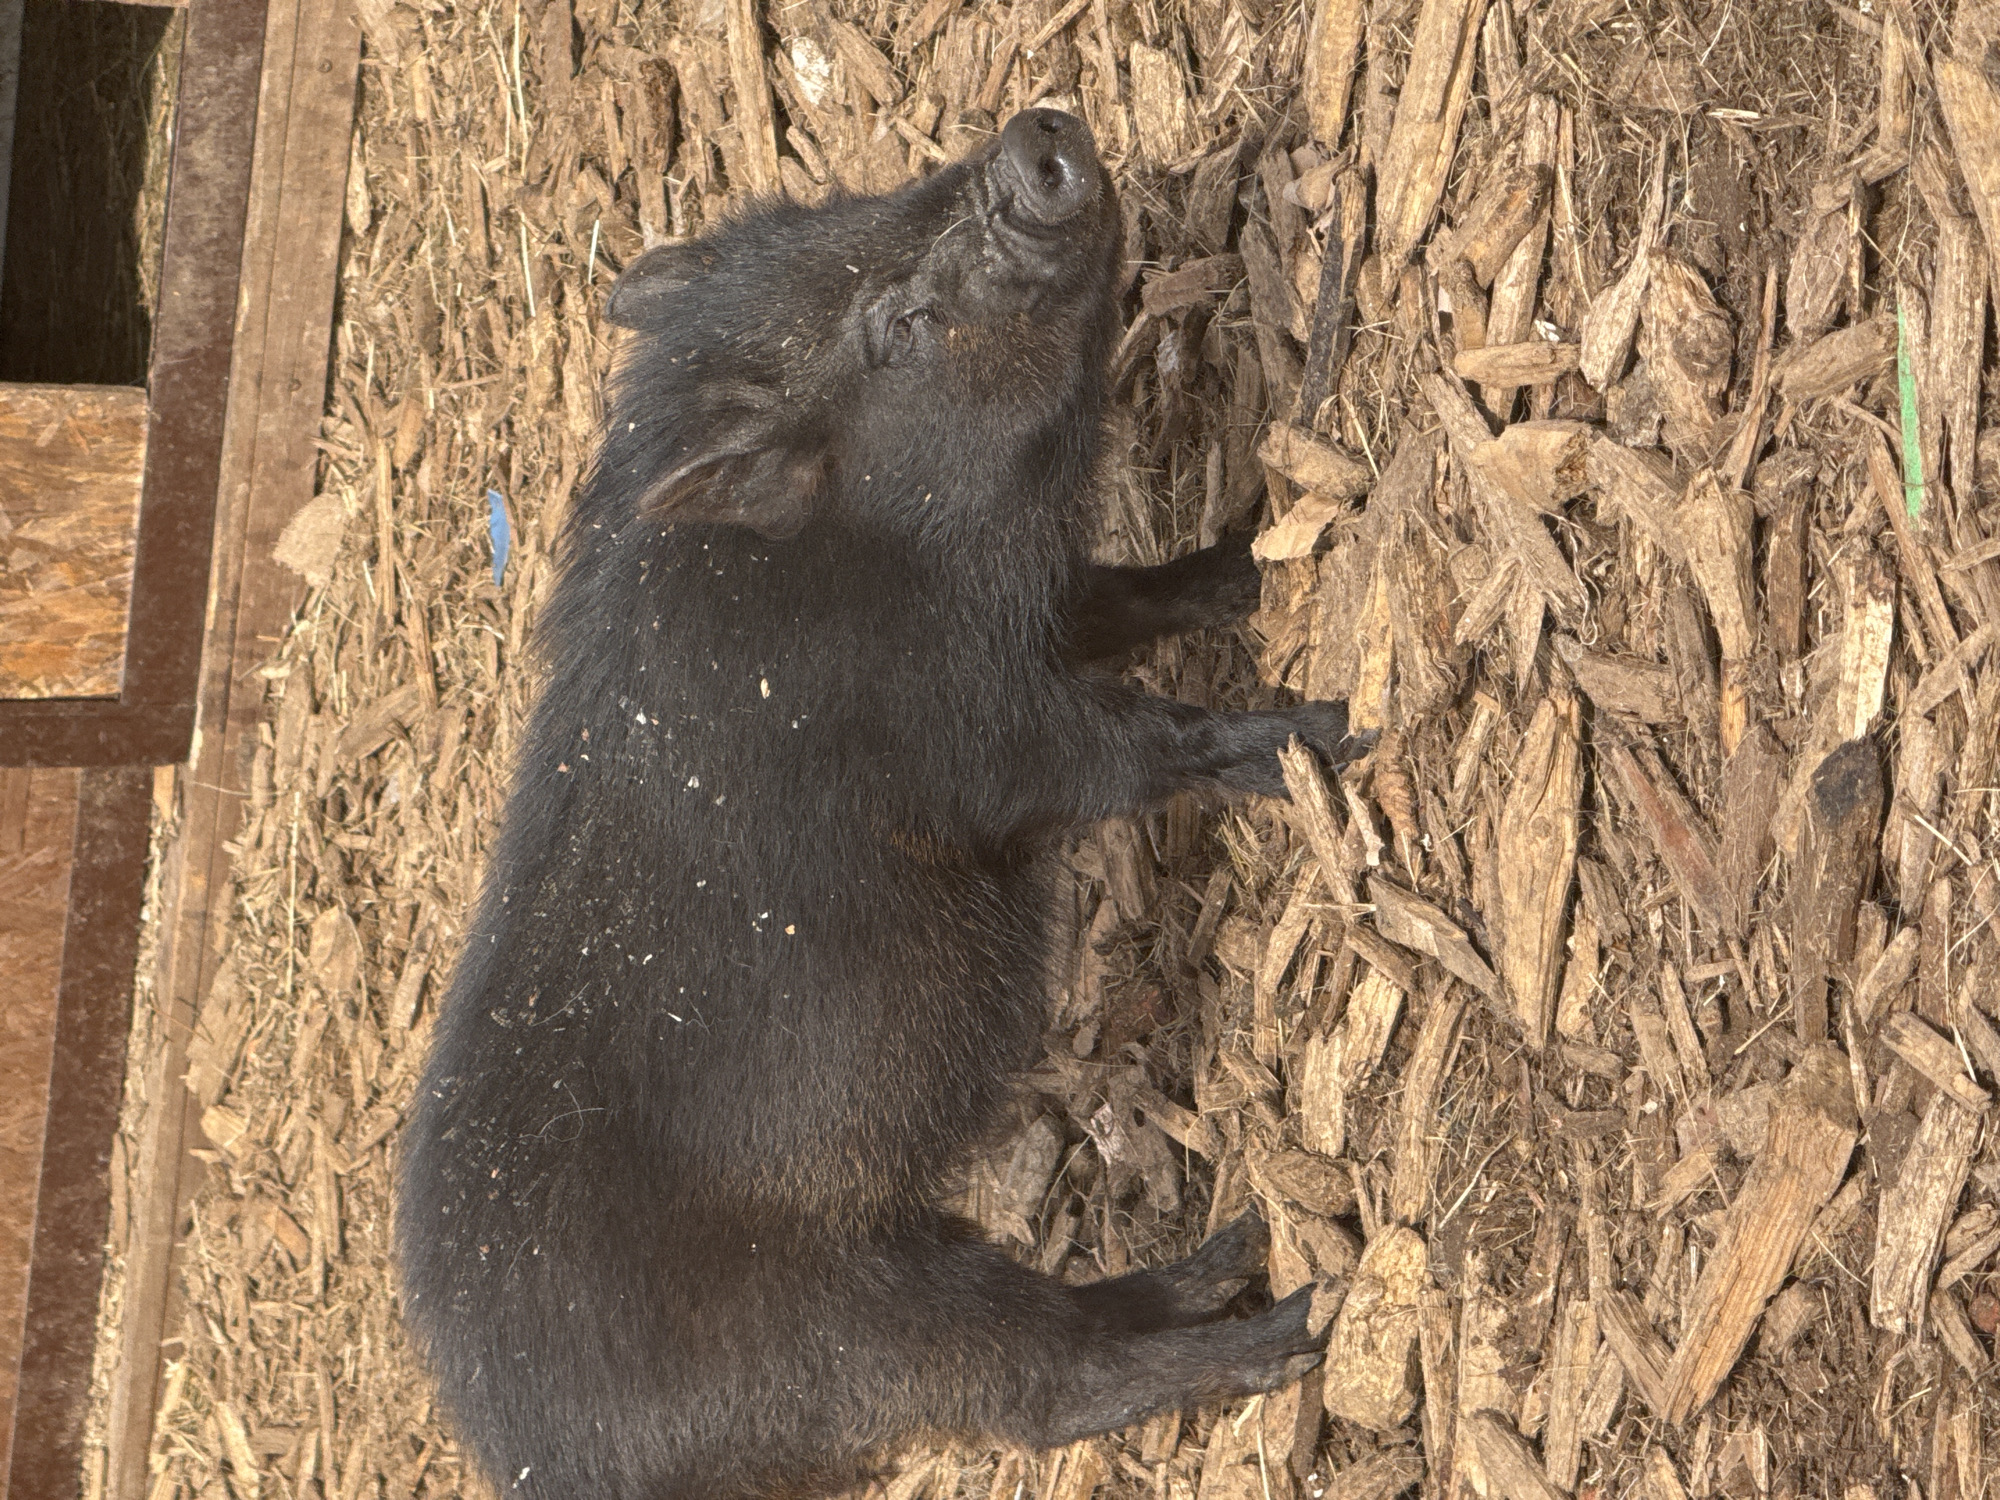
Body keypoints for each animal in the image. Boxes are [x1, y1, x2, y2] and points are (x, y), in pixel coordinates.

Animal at [396, 108, 1368, 1500]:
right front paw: (1321, 729)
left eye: (862, 201)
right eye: (898, 325)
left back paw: (1232, 1264)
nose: (1034, 136)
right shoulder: (985, 744)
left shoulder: (1042, 611)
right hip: (852, 1326)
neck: (888, 561)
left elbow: (1130, 594)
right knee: (1040, 1387)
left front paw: (1247, 566)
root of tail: (536, 1461)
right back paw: (1291, 1312)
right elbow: (1137, 748)